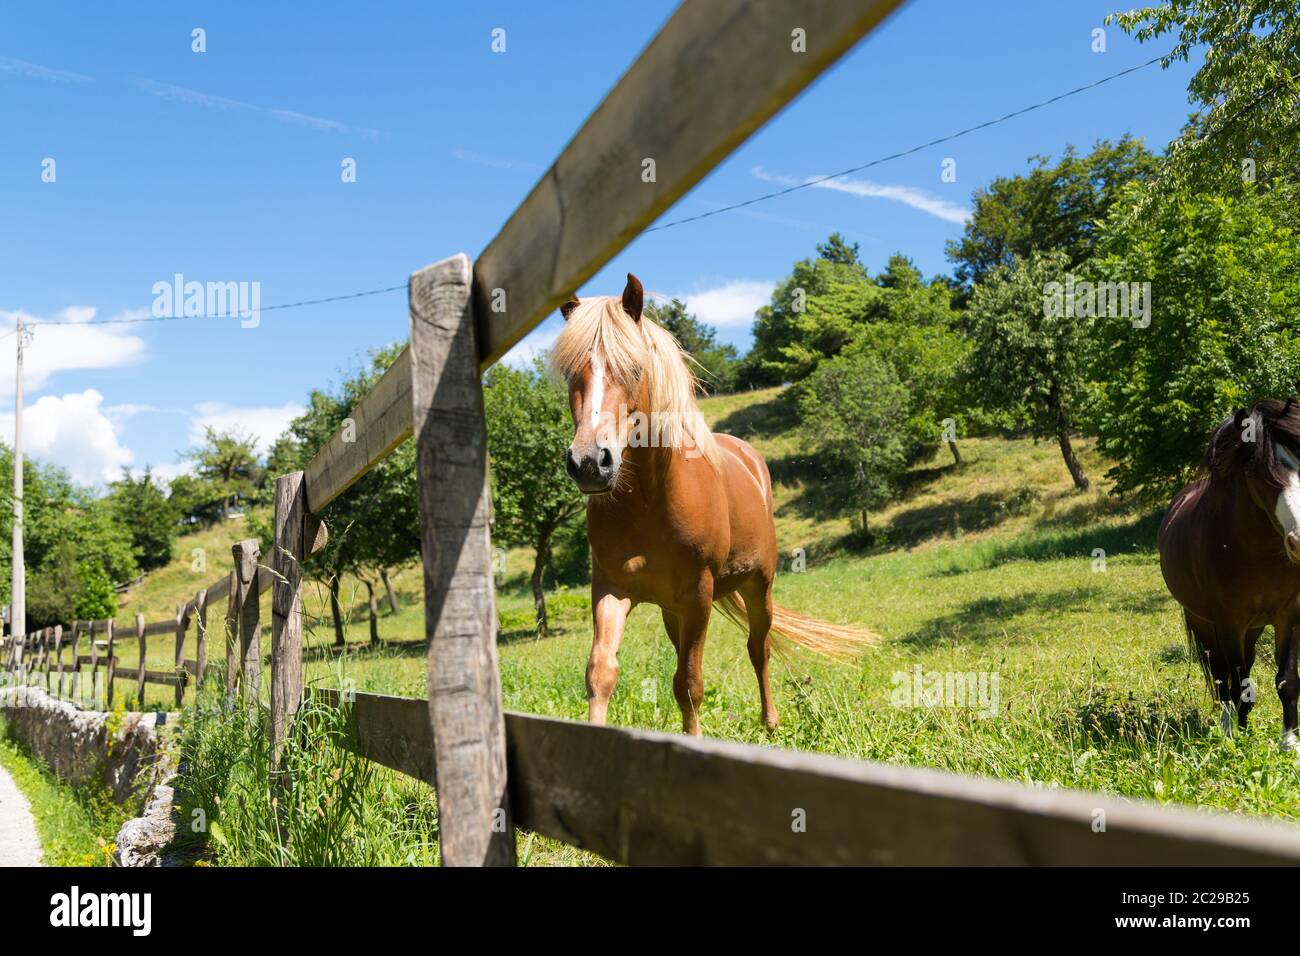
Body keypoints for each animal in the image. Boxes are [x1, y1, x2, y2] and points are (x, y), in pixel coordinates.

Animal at [551, 273, 877, 735]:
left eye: (634, 368)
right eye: (568, 373)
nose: (589, 463)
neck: (648, 502)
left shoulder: (698, 593)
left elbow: (689, 682)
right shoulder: (611, 589)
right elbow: (600, 673)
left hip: (759, 587)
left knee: (759, 648)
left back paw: (770, 720)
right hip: (673, 609)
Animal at [1158, 398, 1300, 750]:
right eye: (1258, 472)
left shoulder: (1289, 616)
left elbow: (1286, 681)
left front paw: (1289, 744)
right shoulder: (1228, 623)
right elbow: (1236, 684)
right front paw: (1234, 741)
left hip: (1252, 628)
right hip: (1204, 623)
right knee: (1224, 679)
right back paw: (1229, 730)